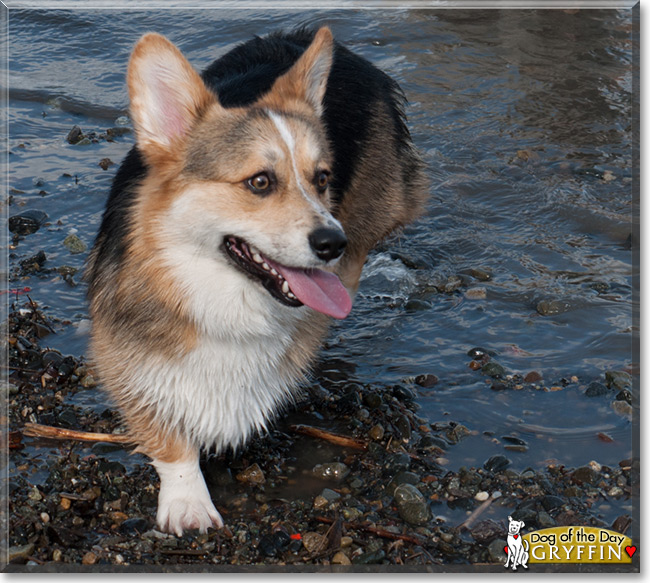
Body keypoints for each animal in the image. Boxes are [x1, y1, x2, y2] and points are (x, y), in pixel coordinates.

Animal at [87, 28, 426, 540]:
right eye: (260, 182)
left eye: (321, 178)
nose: (333, 243)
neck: (218, 290)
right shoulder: (122, 350)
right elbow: (168, 437)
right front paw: (187, 500)